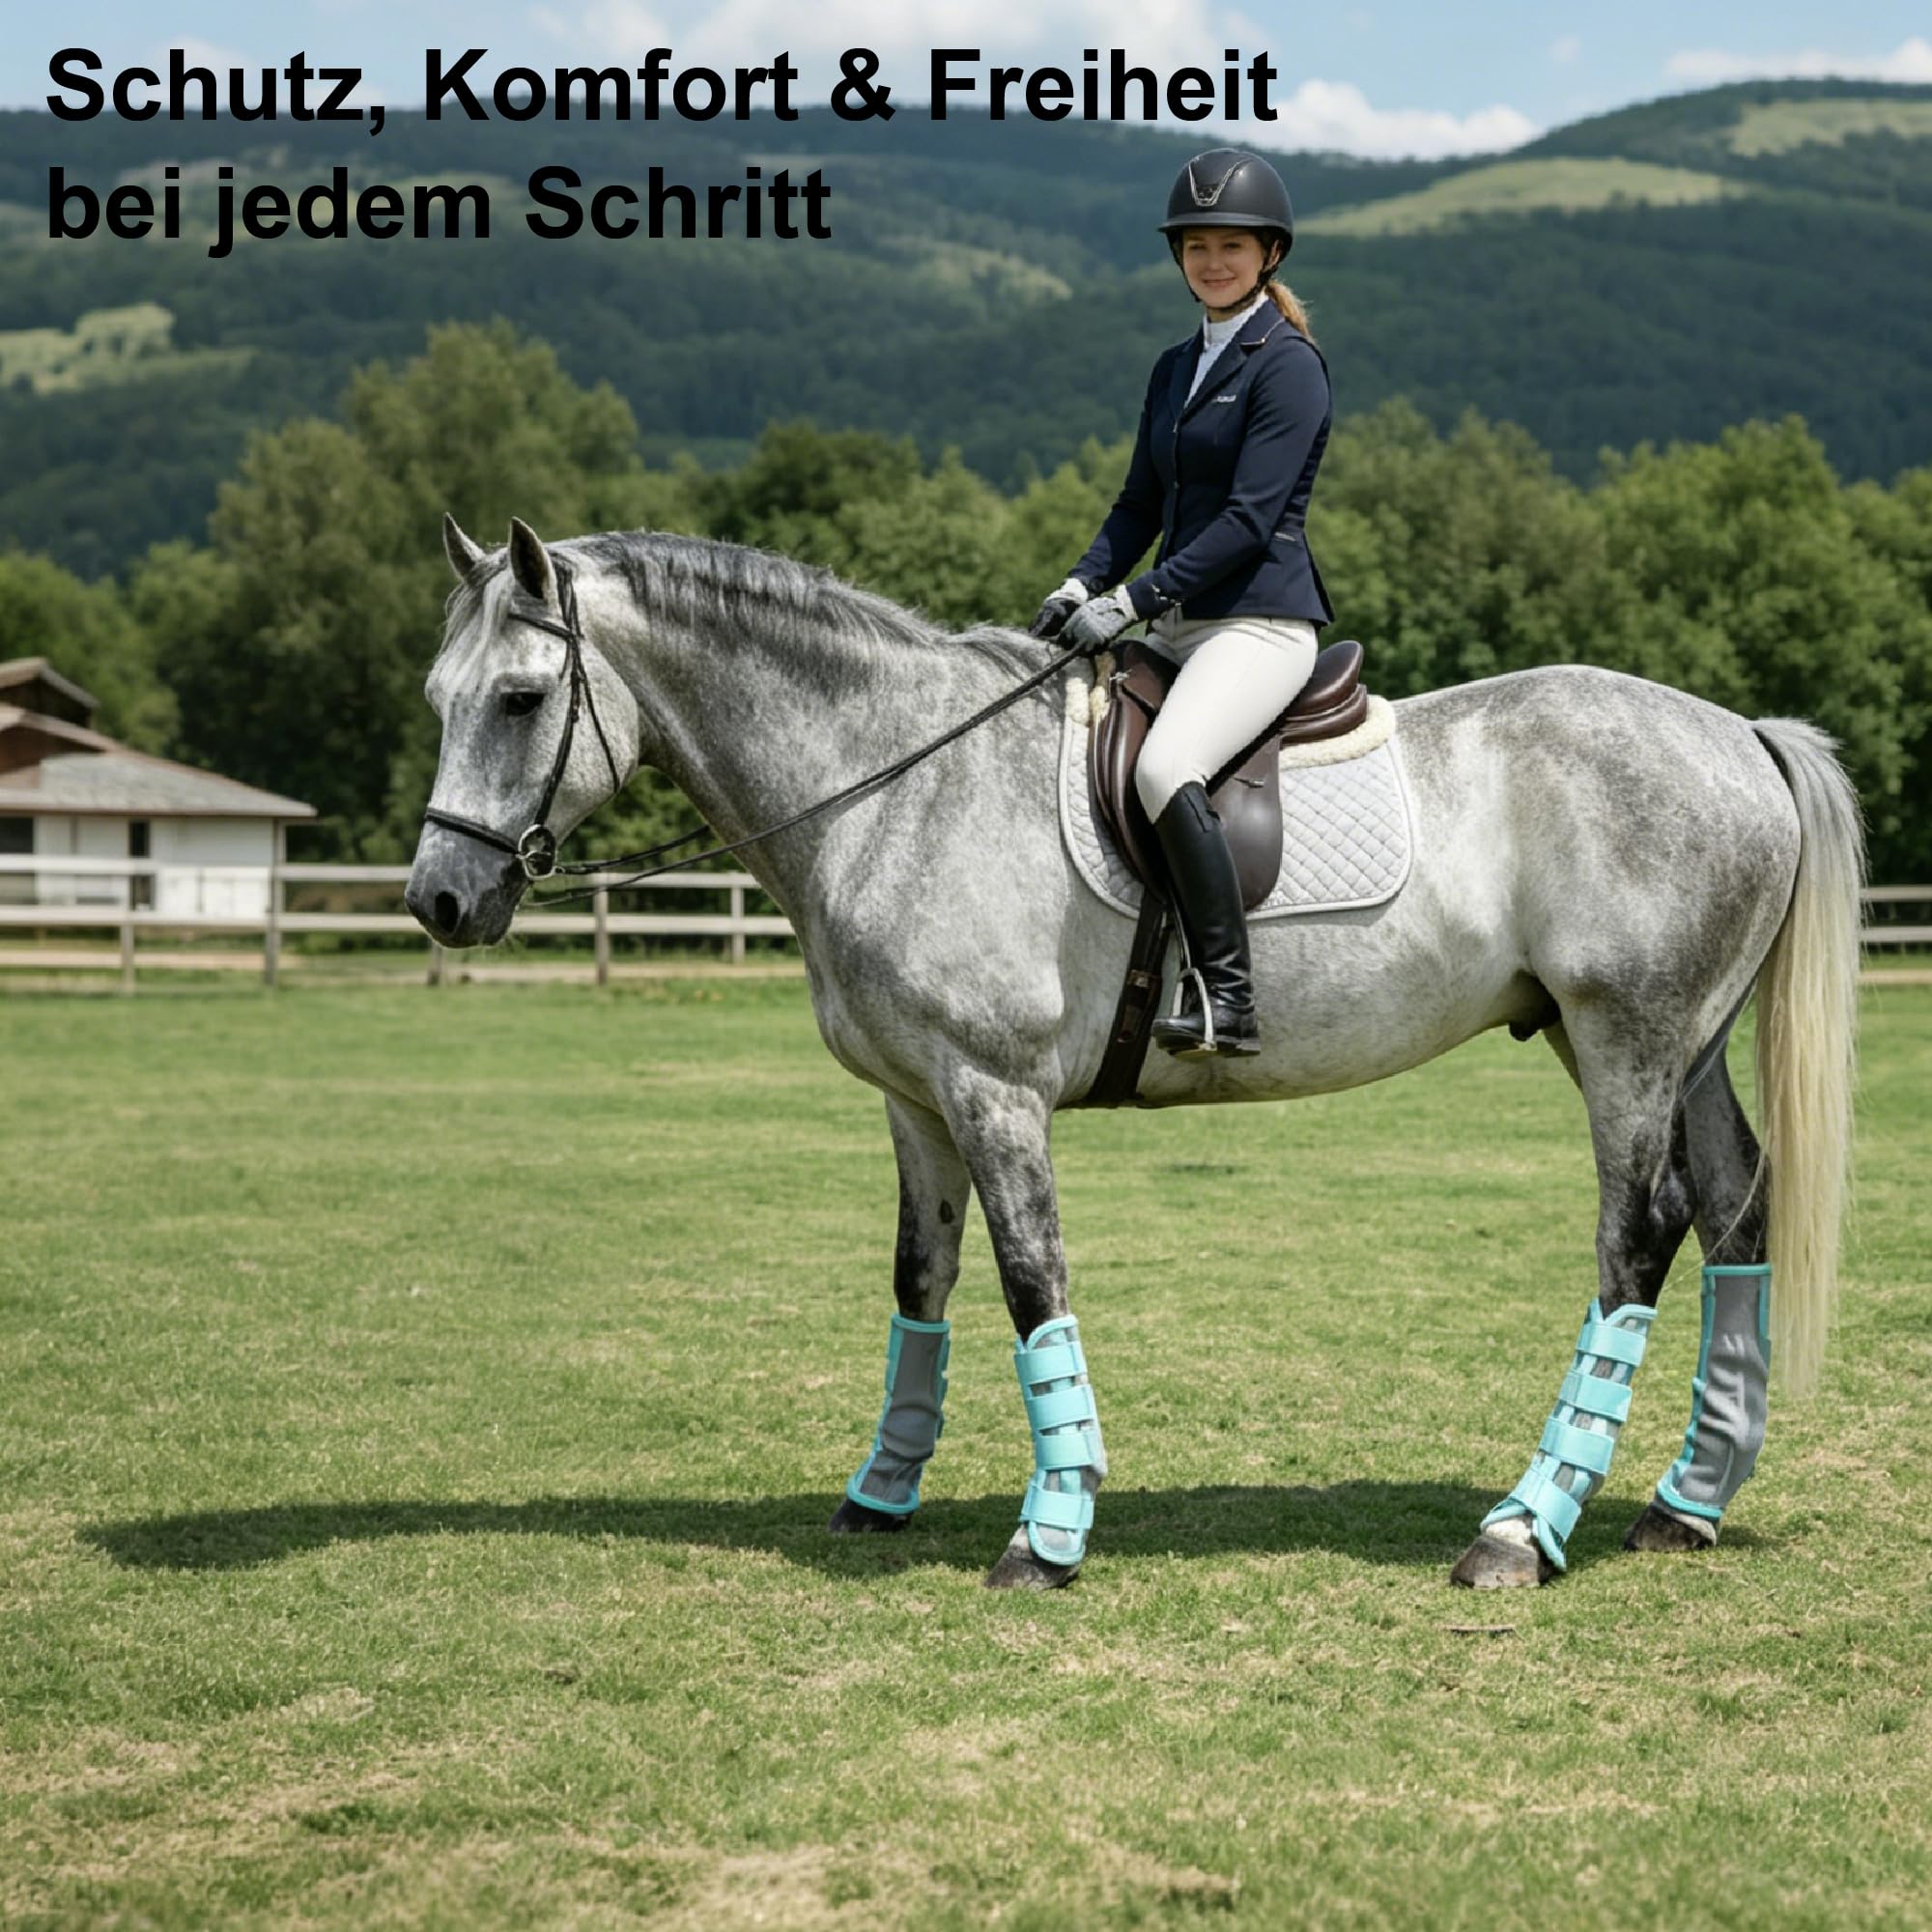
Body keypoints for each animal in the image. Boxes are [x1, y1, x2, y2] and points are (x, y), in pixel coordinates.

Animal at [406, 515, 1863, 1593]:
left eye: (521, 699)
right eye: (438, 699)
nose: (439, 902)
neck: (893, 783)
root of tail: (1741, 734)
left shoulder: (993, 1092)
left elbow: (1027, 1283)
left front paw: (1049, 1530)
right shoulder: (916, 1103)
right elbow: (921, 1282)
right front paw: (881, 1492)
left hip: (1627, 1036)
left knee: (1644, 1228)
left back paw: (1522, 1527)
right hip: (1666, 1041)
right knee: (1735, 1207)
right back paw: (1685, 1504)